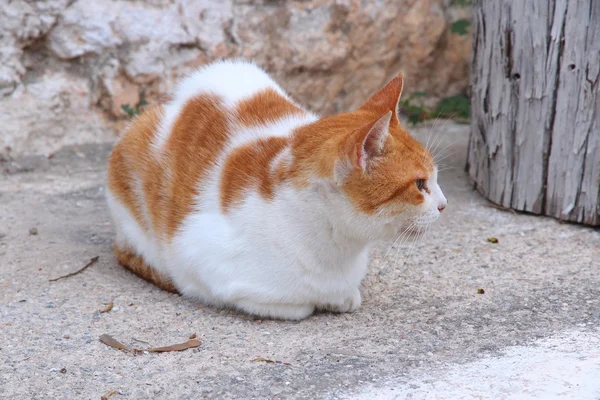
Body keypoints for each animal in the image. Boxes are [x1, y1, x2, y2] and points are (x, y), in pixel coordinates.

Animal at [106, 59, 446, 320]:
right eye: (420, 184)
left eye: (435, 178)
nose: (444, 205)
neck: (337, 247)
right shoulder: (196, 254)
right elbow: (290, 305)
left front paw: (343, 295)